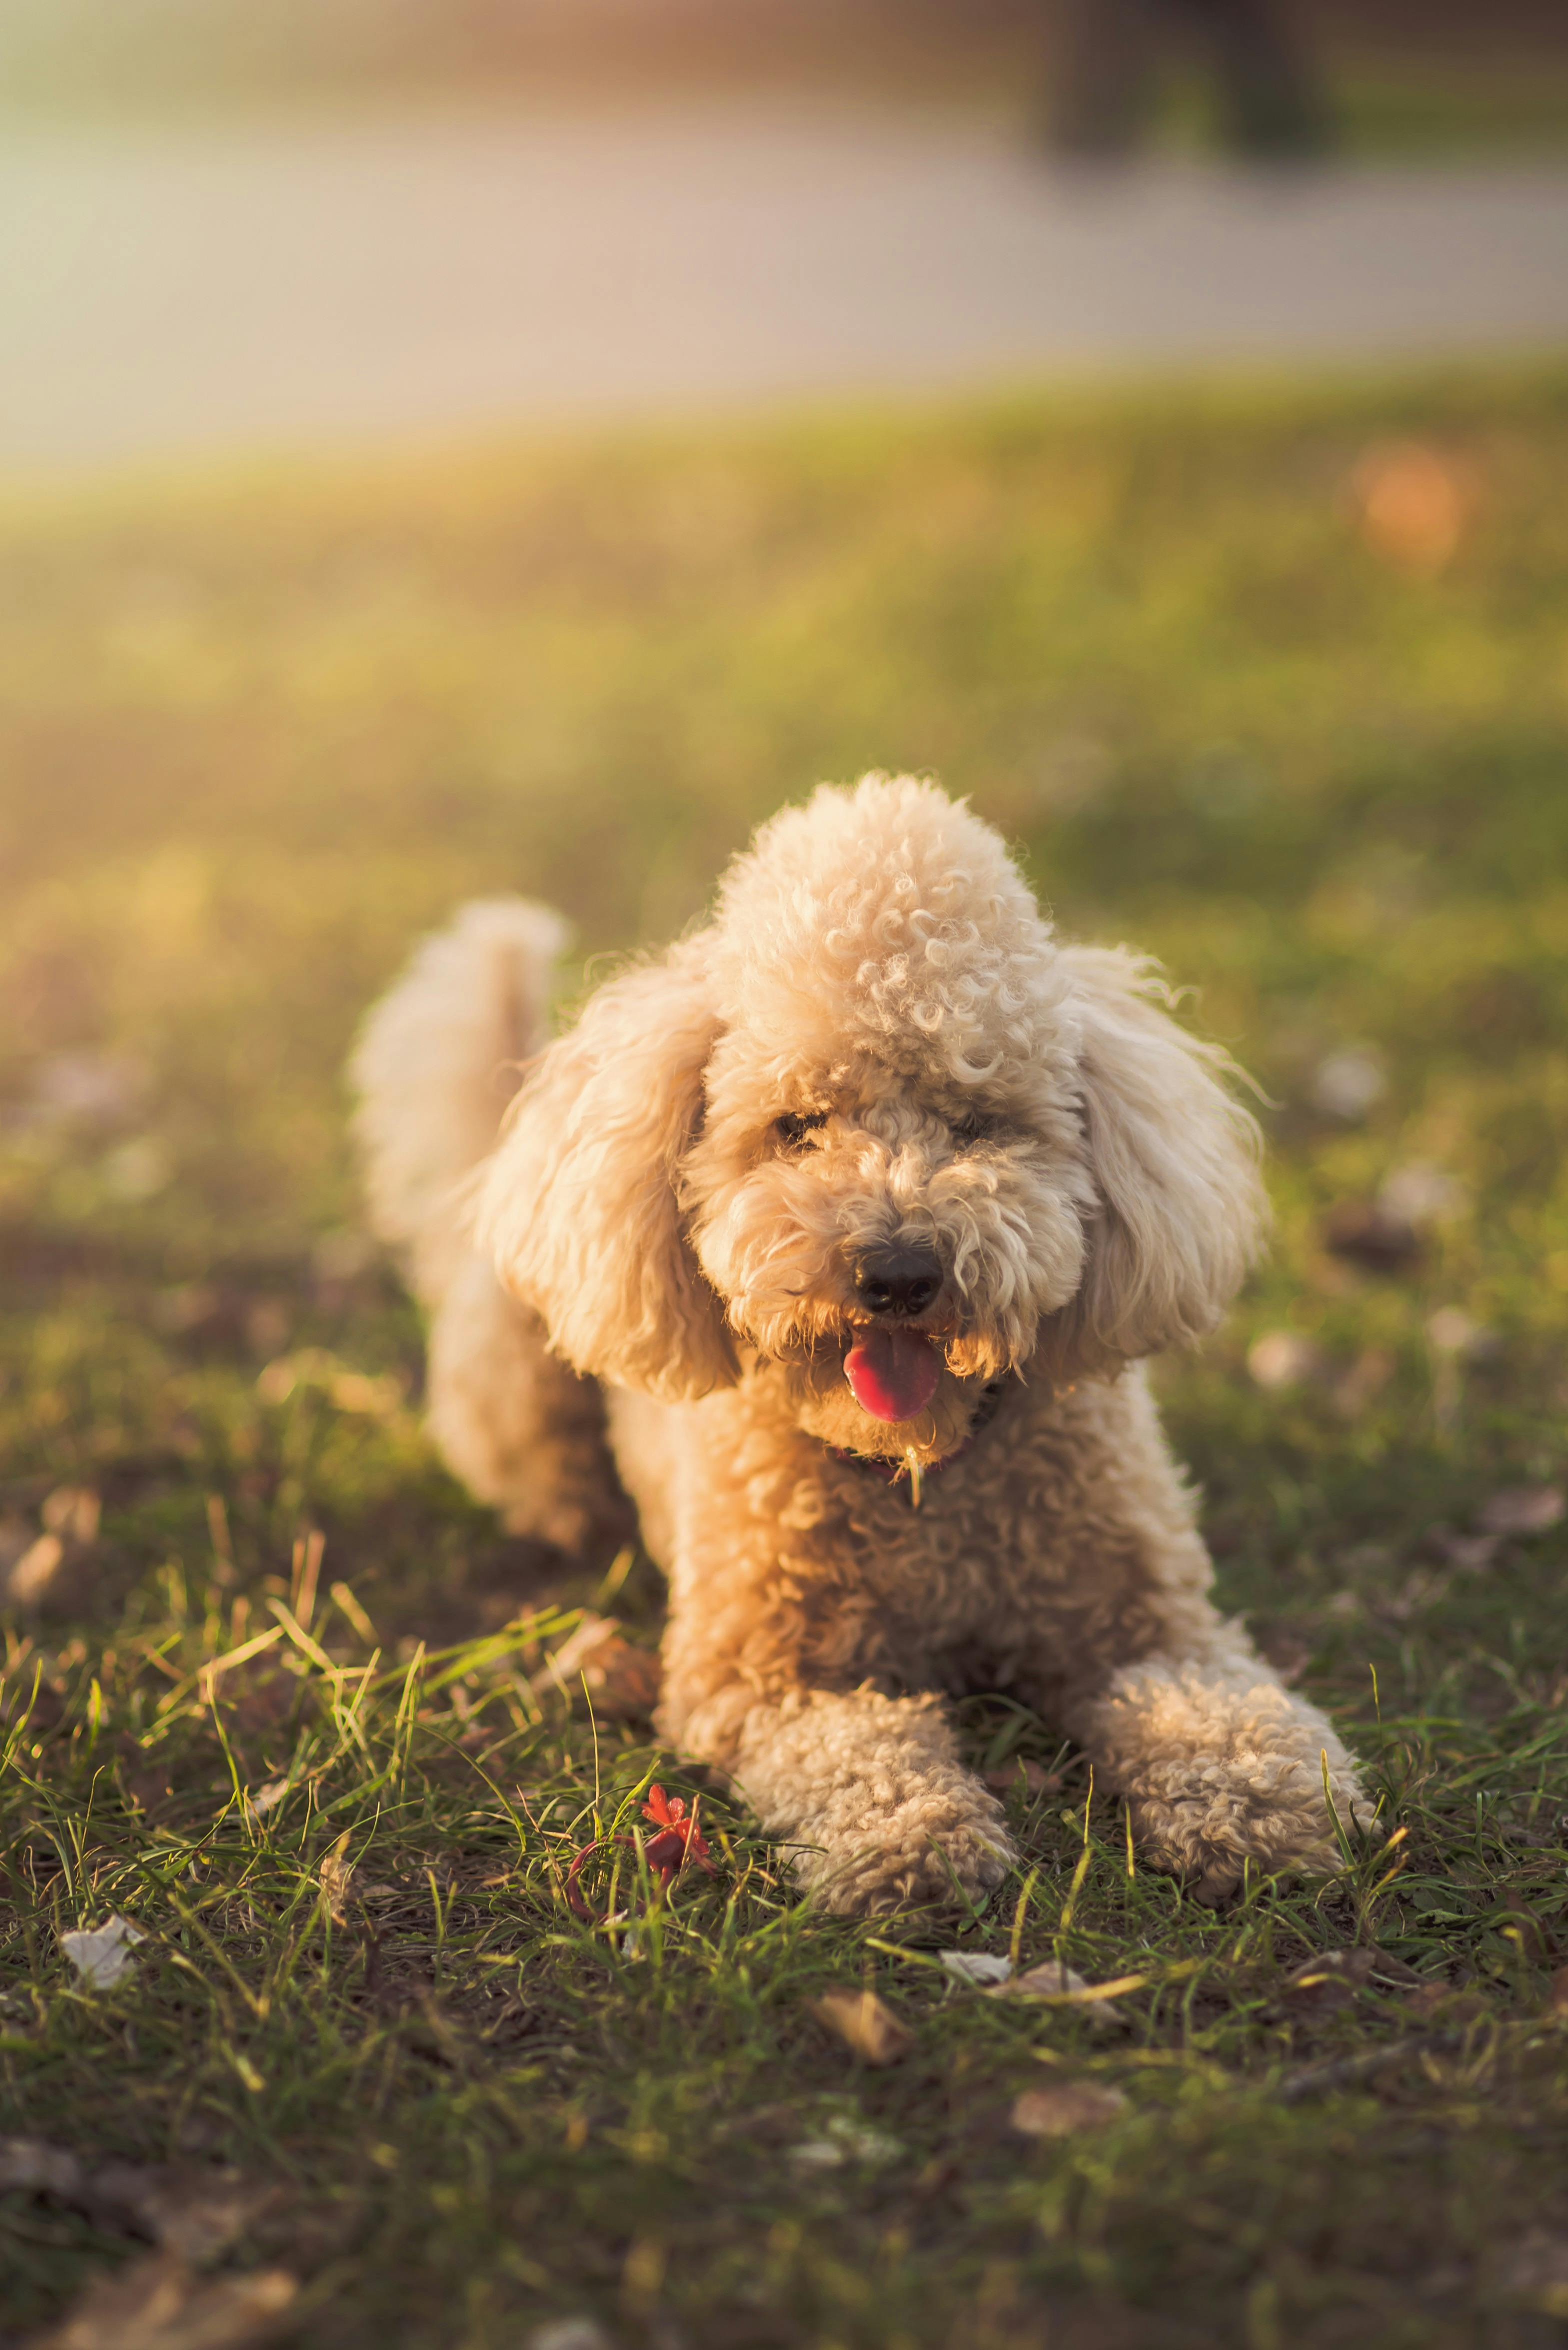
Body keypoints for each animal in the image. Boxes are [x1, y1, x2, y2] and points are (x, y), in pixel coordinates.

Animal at [352, 770, 1363, 1908]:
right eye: (798, 1126)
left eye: (974, 1119)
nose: (897, 1273)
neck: (916, 1473)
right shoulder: (757, 1684)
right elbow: (857, 1749)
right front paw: (915, 1840)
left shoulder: (1158, 1626)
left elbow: (1213, 1706)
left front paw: (1259, 1800)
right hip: (517, 1392)